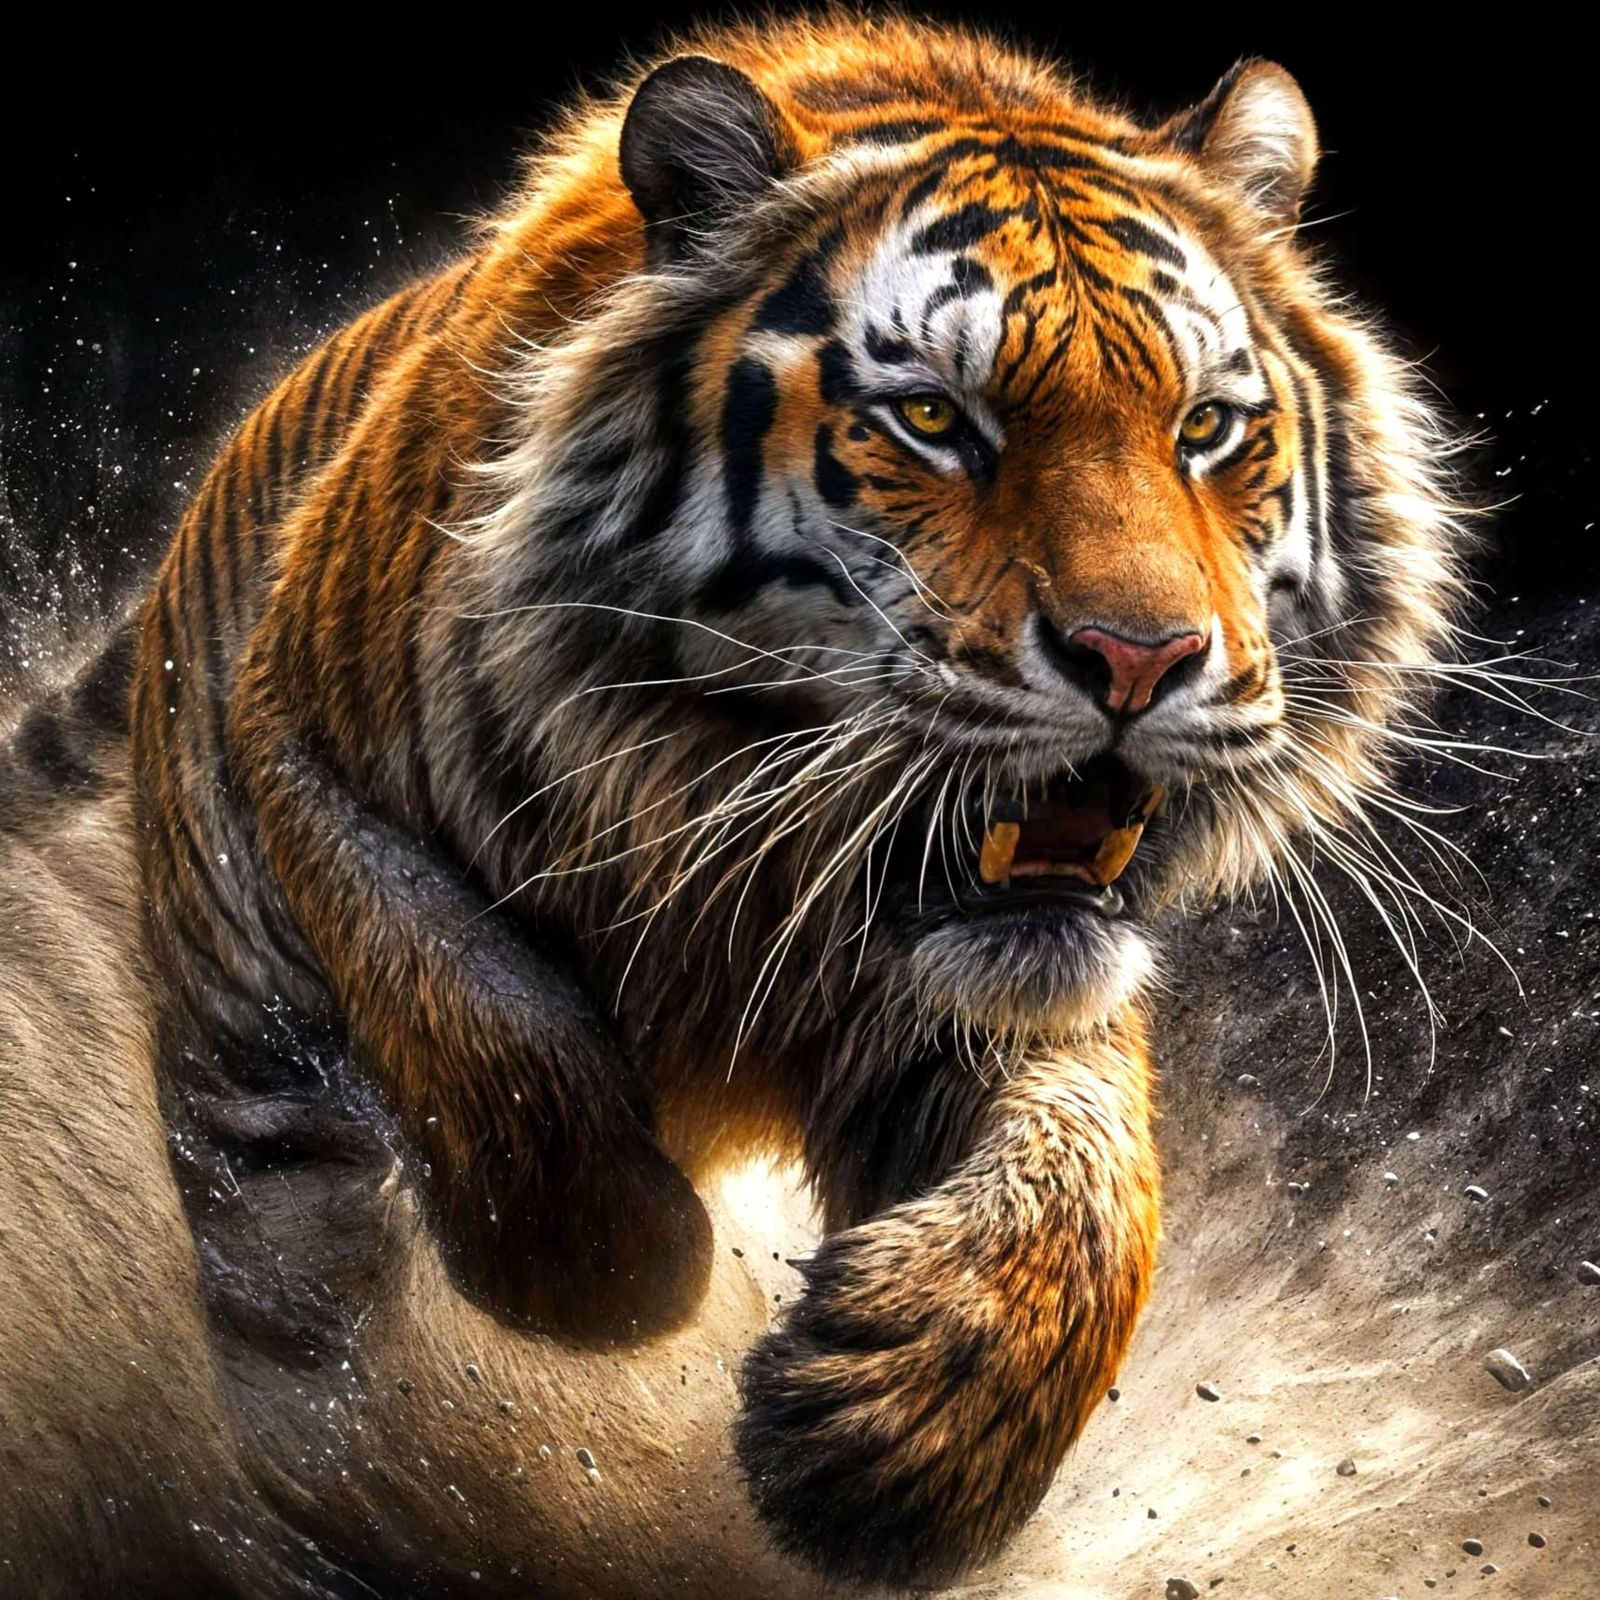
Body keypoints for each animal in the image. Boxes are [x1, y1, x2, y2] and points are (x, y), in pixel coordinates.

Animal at [122, 14, 1466, 1589]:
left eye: (1204, 429)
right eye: (935, 420)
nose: (1141, 659)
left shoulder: (992, 983)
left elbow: (1092, 1178)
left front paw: (897, 1440)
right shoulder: (307, 753)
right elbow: (477, 1005)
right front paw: (631, 1269)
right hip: (246, 1066)